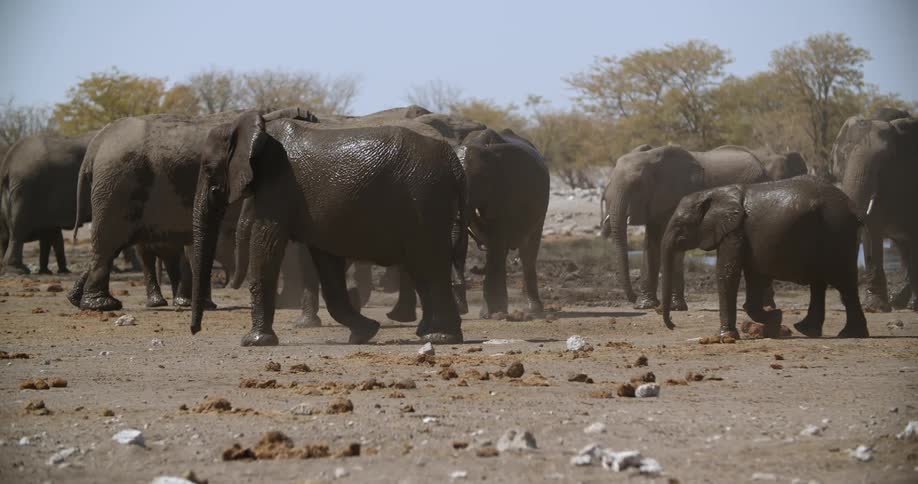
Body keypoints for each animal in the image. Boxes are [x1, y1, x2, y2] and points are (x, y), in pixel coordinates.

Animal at [66, 107, 310, 311]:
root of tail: (97, 143)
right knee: (109, 240)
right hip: (118, 183)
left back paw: (77, 300)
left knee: (114, 243)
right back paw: (103, 305)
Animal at [190, 111, 468, 347]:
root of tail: (453, 161)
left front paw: (254, 341)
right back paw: (430, 333)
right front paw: (364, 333)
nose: (195, 330)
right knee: (422, 266)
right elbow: (326, 262)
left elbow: (266, 245)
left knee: (428, 263)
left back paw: (440, 338)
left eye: (208, 168)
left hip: (424, 195)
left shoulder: (278, 185)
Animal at [458, 128, 549, 318]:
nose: (474, 268)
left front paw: (494, 314)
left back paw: (534, 311)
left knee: (527, 252)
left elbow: (497, 236)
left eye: (479, 180)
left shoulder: (506, 190)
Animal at [601, 144, 775, 310]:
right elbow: (651, 245)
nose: (633, 297)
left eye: (637, 185)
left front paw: (676, 307)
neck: (650, 158)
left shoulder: (680, 195)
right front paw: (645, 305)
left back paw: (764, 306)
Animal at [660, 176, 868, 339]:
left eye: (679, 225)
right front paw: (776, 317)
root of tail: (853, 208)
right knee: (820, 283)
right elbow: (753, 275)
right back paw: (809, 330)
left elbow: (727, 273)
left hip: (837, 230)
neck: (714, 193)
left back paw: (849, 334)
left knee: (843, 282)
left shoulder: (734, 231)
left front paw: (725, 336)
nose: (673, 325)